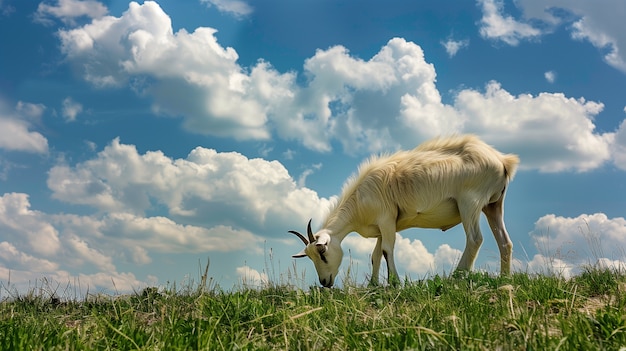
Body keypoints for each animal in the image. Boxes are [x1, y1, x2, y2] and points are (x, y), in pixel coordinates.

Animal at [288, 135, 516, 288]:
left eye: (323, 254)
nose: (325, 282)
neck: (359, 200)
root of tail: (502, 161)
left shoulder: (386, 218)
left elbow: (387, 250)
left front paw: (394, 283)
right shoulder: (383, 226)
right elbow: (376, 255)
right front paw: (373, 284)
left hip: (470, 202)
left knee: (475, 239)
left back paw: (457, 276)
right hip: (493, 205)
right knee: (504, 241)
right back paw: (505, 279)